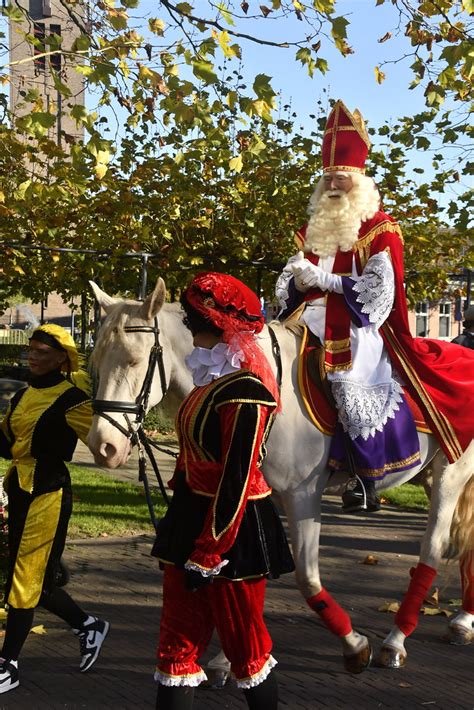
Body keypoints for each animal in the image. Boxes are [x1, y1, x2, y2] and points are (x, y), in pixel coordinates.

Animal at [87, 276, 474, 676]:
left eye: (134, 361)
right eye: (95, 360)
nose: (103, 446)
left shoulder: (302, 497)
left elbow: (306, 578)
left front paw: (354, 645)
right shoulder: (248, 491)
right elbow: (239, 568)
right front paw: (231, 659)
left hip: (450, 474)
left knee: (432, 550)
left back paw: (396, 641)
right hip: (431, 476)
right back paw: (461, 622)